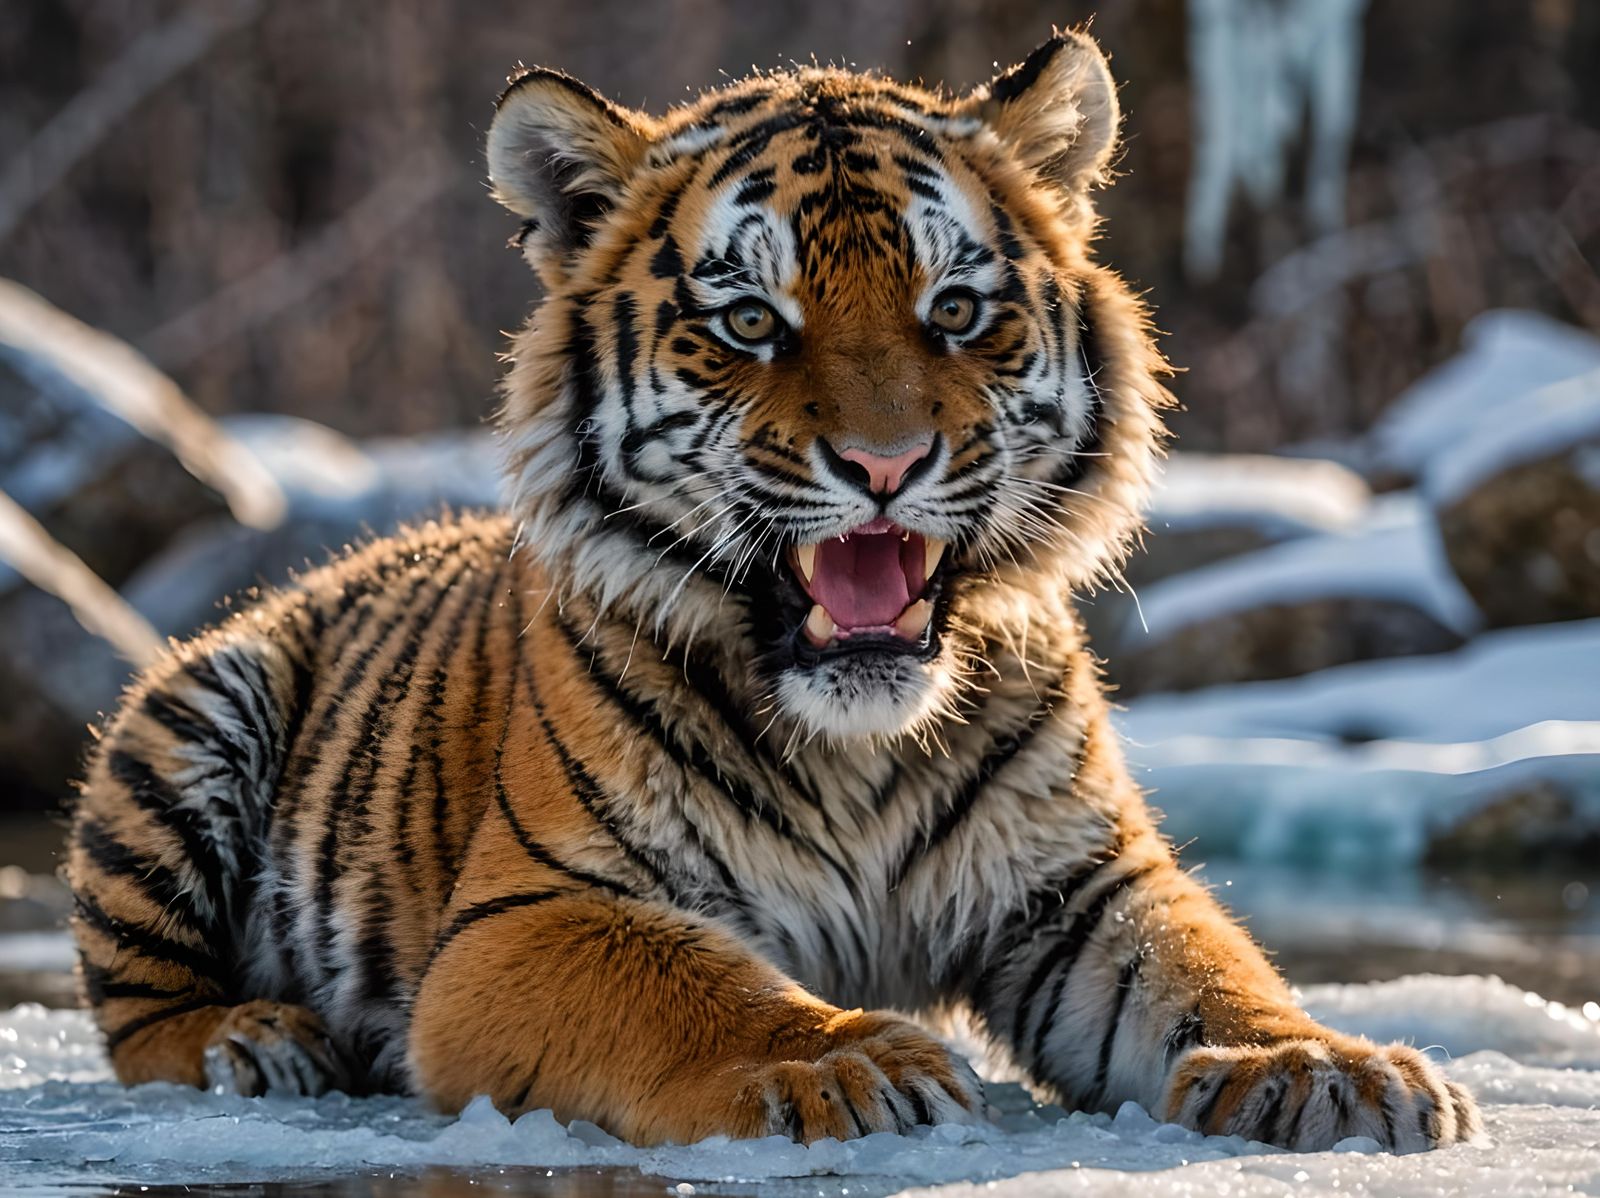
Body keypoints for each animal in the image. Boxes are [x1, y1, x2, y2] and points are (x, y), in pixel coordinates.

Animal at [67, 30, 1480, 1151]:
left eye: (954, 309)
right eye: (750, 323)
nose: (885, 464)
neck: (861, 743)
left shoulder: (1082, 884)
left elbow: (1208, 964)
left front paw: (1319, 1066)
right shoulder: (538, 910)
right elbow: (694, 987)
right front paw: (843, 1058)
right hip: (191, 714)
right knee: (136, 1007)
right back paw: (251, 1042)